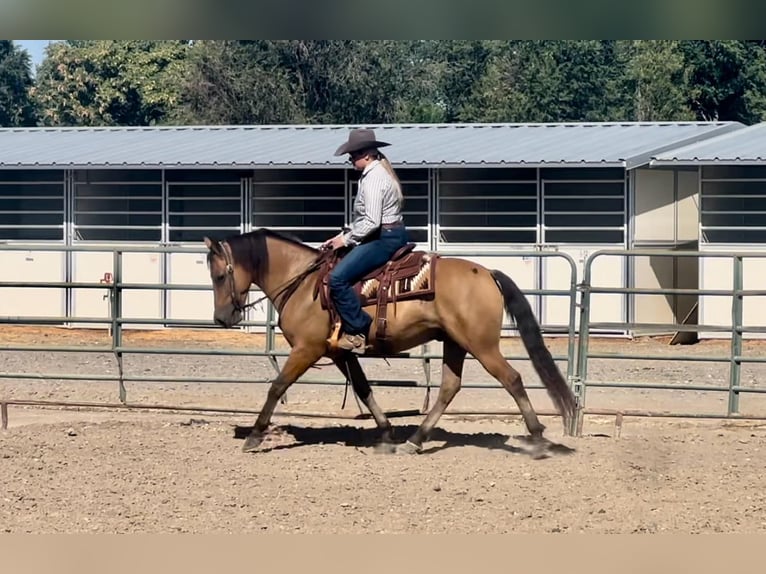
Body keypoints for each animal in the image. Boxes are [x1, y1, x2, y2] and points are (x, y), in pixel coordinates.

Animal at [203, 228, 576, 457]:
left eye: (220, 275)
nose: (221, 319)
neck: (304, 283)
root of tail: (486, 273)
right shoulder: (340, 352)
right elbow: (364, 389)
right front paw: (385, 433)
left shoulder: (307, 349)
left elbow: (277, 386)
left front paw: (254, 435)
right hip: (455, 343)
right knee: (449, 388)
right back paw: (415, 440)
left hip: (481, 345)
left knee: (512, 379)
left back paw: (538, 439)